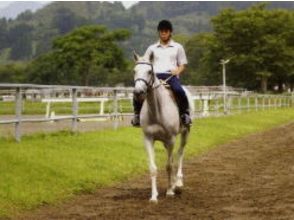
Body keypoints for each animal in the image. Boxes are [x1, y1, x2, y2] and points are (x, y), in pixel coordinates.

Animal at [133, 51, 191, 203]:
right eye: (134, 71)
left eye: (149, 71)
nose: (138, 92)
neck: (156, 111)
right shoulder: (148, 139)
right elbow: (153, 168)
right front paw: (154, 196)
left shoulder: (171, 139)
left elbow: (169, 165)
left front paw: (170, 191)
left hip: (185, 133)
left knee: (180, 153)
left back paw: (178, 182)